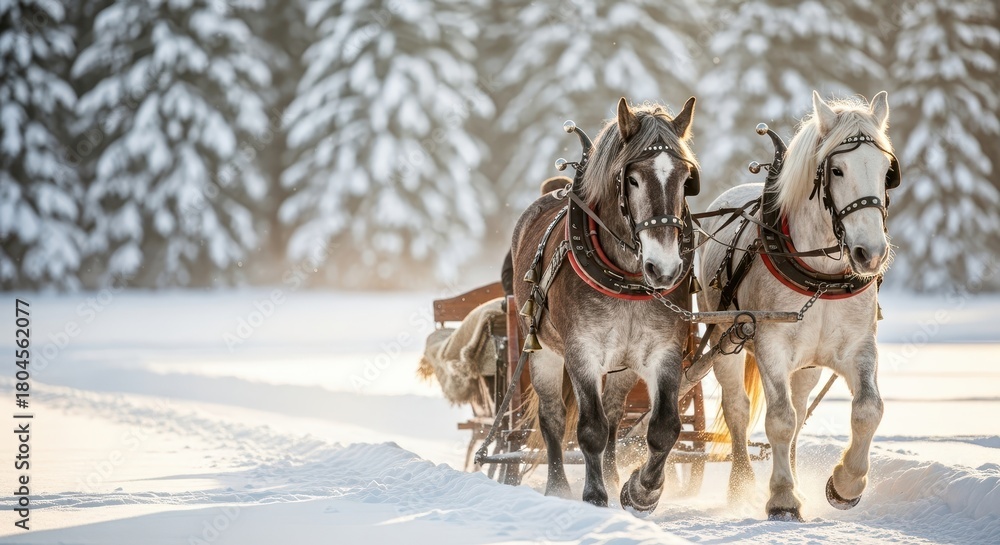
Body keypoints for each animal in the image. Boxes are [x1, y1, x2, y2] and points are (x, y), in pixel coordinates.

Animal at [510, 97, 700, 511]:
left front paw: (640, 491)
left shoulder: (663, 351)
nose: (664, 268)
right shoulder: (581, 351)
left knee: (614, 416)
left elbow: (663, 427)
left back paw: (613, 479)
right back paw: (558, 488)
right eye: (632, 179)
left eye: (685, 179)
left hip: (623, 367)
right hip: (541, 351)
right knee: (553, 418)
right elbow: (590, 428)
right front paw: (594, 496)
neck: (627, 280)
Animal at [696, 91, 898, 521]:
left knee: (802, 406)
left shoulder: (859, 347)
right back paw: (741, 484)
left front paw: (845, 483)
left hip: (807, 364)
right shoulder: (770, 345)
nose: (870, 253)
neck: (820, 275)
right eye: (836, 170)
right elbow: (779, 419)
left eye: (887, 170)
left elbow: (868, 409)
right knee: (738, 409)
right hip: (724, 337)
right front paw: (783, 498)